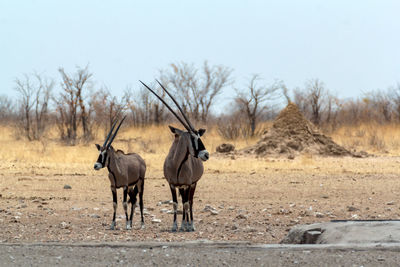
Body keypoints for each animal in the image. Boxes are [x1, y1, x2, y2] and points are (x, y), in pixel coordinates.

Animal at [140, 80, 209, 232]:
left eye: (199, 136)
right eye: (192, 138)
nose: (206, 154)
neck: (177, 163)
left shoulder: (187, 184)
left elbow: (186, 204)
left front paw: (185, 225)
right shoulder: (172, 184)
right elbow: (176, 203)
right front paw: (175, 226)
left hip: (193, 184)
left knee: (190, 201)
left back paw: (190, 224)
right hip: (182, 187)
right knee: (184, 201)